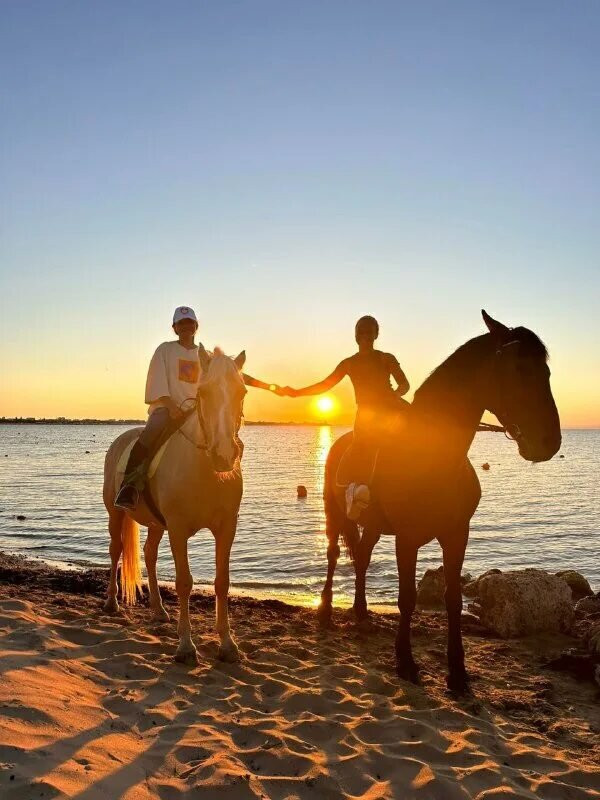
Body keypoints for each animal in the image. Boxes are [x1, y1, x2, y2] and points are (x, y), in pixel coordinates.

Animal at [102, 346, 247, 665]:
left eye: (242, 391)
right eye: (203, 392)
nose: (223, 455)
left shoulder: (226, 528)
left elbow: (222, 581)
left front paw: (228, 644)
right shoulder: (179, 530)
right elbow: (184, 582)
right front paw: (185, 646)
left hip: (157, 524)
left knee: (149, 554)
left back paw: (158, 609)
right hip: (115, 513)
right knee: (116, 550)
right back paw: (111, 602)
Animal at [318, 311, 561, 693]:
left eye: (546, 371)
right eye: (519, 369)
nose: (549, 441)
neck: (434, 458)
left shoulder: (457, 535)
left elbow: (453, 599)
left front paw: (457, 672)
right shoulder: (407, 539)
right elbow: (407, 598)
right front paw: (405, 662)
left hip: (373, 525)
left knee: (362, 557)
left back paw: (360, 610)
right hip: (335, 514)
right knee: (333, 555)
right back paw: (326, 611)